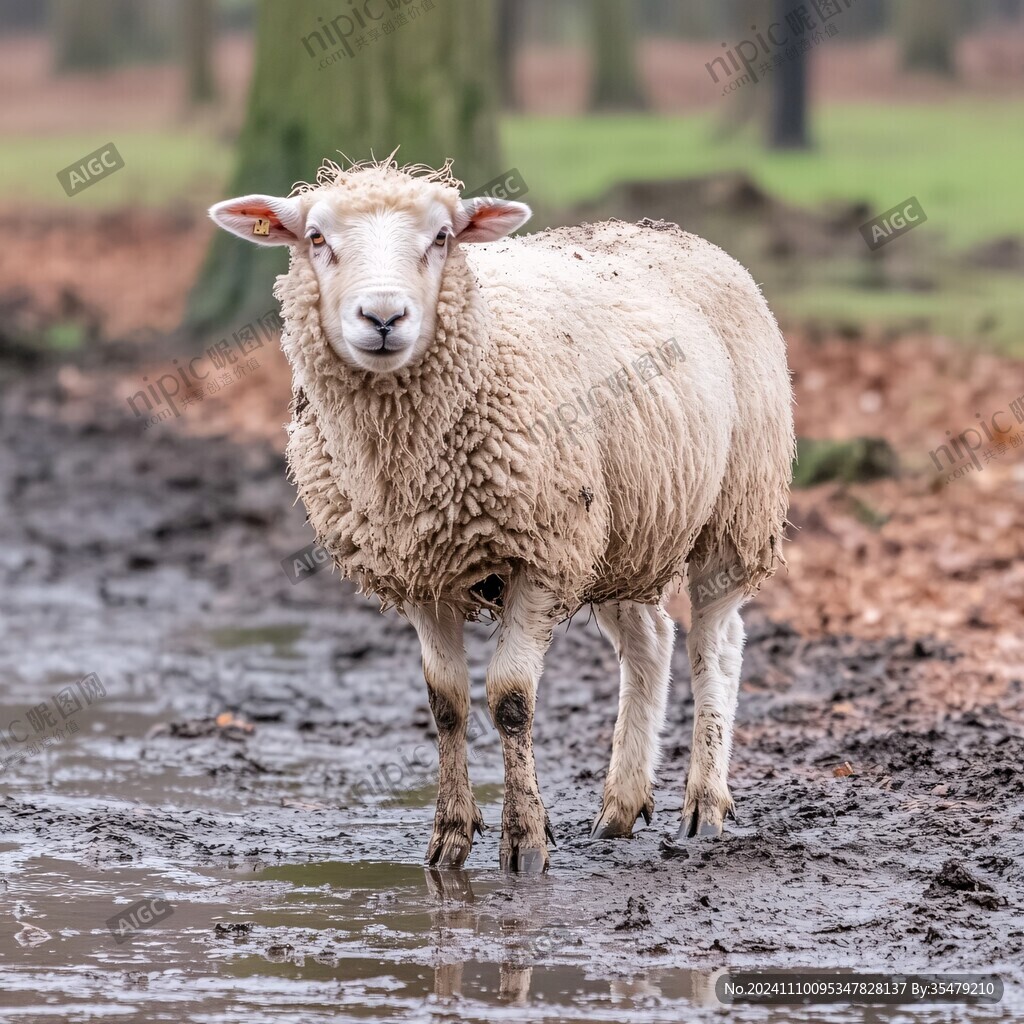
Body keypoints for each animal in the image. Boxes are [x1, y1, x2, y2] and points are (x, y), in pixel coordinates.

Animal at [211, 157, 794, 872]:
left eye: (442, 238)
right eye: (316, 238)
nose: (383, 317)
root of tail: (673, 231)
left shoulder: (541, 555)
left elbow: (511, 701)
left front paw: (526, 841)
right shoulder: (422, 571)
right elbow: (447, 704)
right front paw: (450, 837)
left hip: (735, 507)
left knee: (716, 645)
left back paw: (705, 804)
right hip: (624, 527)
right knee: (651, 641)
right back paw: (620, 807)